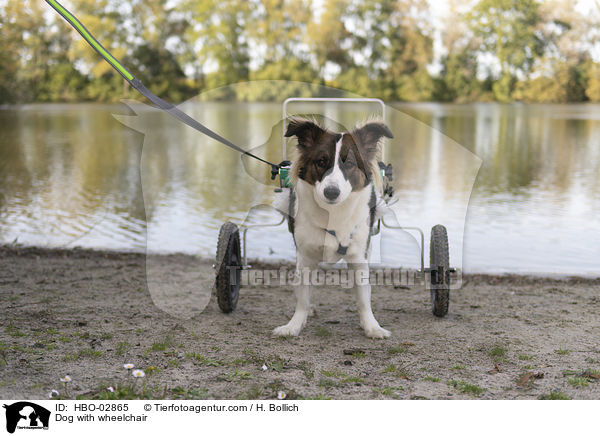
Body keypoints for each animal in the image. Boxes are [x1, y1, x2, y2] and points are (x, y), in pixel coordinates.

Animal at [272, 117, 394, 338]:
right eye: (321, 162)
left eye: (350, 163)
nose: (331, 192)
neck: (333, 212)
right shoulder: (305, 257)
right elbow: (302, 297)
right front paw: (294, 325)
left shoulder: (358, 258)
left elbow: (363, 297)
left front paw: (372, 327)